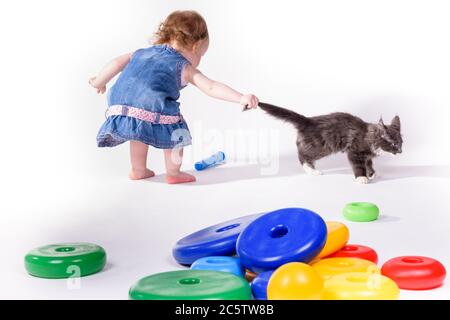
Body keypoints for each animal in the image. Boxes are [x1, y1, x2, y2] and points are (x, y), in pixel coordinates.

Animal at [258, 101, 402, 184]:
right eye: (394, 144)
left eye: (401, 143)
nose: (401, 151)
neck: (370, 137)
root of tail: (308, 121)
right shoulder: (354, 152)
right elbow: (359, 166)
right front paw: (361, 177)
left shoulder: (367, 156)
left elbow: (369, 164)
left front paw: (372, 174)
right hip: (321, 146)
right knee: (302, 154)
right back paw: (311, 170)